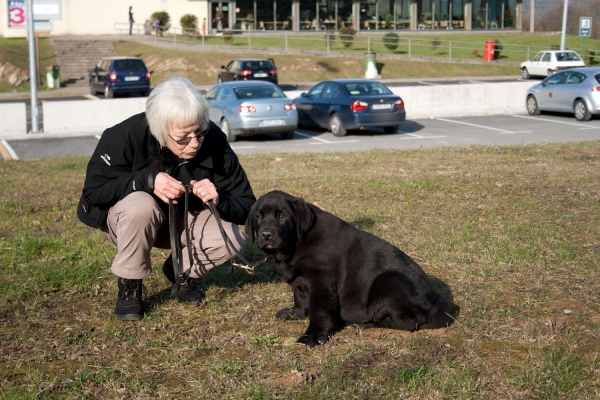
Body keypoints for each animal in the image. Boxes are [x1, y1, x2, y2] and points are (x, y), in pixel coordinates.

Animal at [244, 191, 450, 346]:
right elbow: (300, 299)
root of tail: (437, 302)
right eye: (259, 216)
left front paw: (313, 335)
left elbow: (318, 310)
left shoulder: (322, 280)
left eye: (282, 216)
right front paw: (294, 314)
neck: (295, 244)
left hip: (390, 280)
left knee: (408, 322)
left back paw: (368, 323)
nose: (266, 234)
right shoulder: (301, 280)